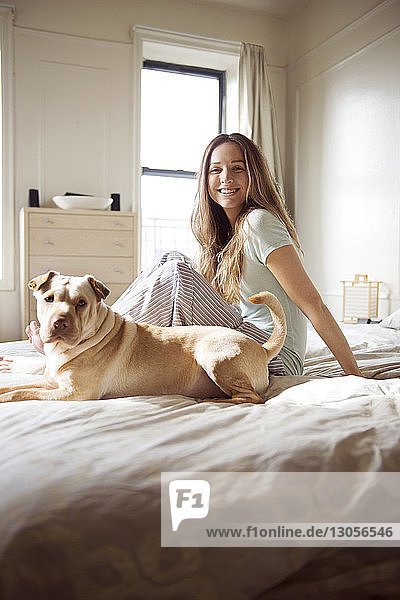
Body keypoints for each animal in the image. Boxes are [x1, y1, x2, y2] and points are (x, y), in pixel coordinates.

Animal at [0, 274, 288, 406]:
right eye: (48, 299)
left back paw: (213, 400)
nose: (59, 322)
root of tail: (262, 348)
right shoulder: (51, 383)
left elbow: (22, 393)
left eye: (81, 303)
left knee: (251, 397)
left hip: (213, 355)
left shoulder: (74, 393)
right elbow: (19, 387)